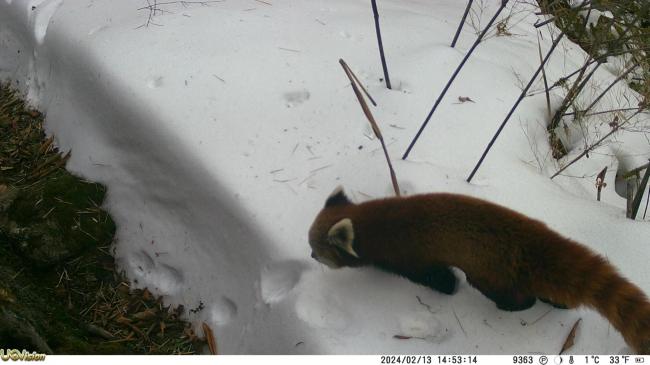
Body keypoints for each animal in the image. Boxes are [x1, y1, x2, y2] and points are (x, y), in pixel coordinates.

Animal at [306, 186, 648, 352]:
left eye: (316, 251)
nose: (309, 255)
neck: (374, 223)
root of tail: (535, 239)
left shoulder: (411, 256)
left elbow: (439, 279)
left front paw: (445, 288)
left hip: (492, 272)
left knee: (515, 295)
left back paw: (511, 306)